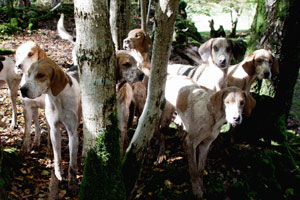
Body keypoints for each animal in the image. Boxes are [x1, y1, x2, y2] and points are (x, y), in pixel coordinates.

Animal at [19, 57, 81, 191]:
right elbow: (57, 156)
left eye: (40, 75)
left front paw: (72, 182)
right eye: (28, 74)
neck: (57, 98)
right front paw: (58, 174)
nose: (22, 90)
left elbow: (72, 163)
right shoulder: (54, 129)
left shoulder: (72, 132)